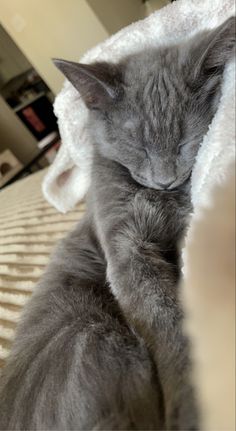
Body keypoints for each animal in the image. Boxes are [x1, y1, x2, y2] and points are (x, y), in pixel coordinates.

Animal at [0, 16, 234, 431]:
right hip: (93, 337)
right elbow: (160, 313)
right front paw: (190, 399)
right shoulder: (124, 245)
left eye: (186, 142)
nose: (165, 178)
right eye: (137, 146)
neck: (157, 198)